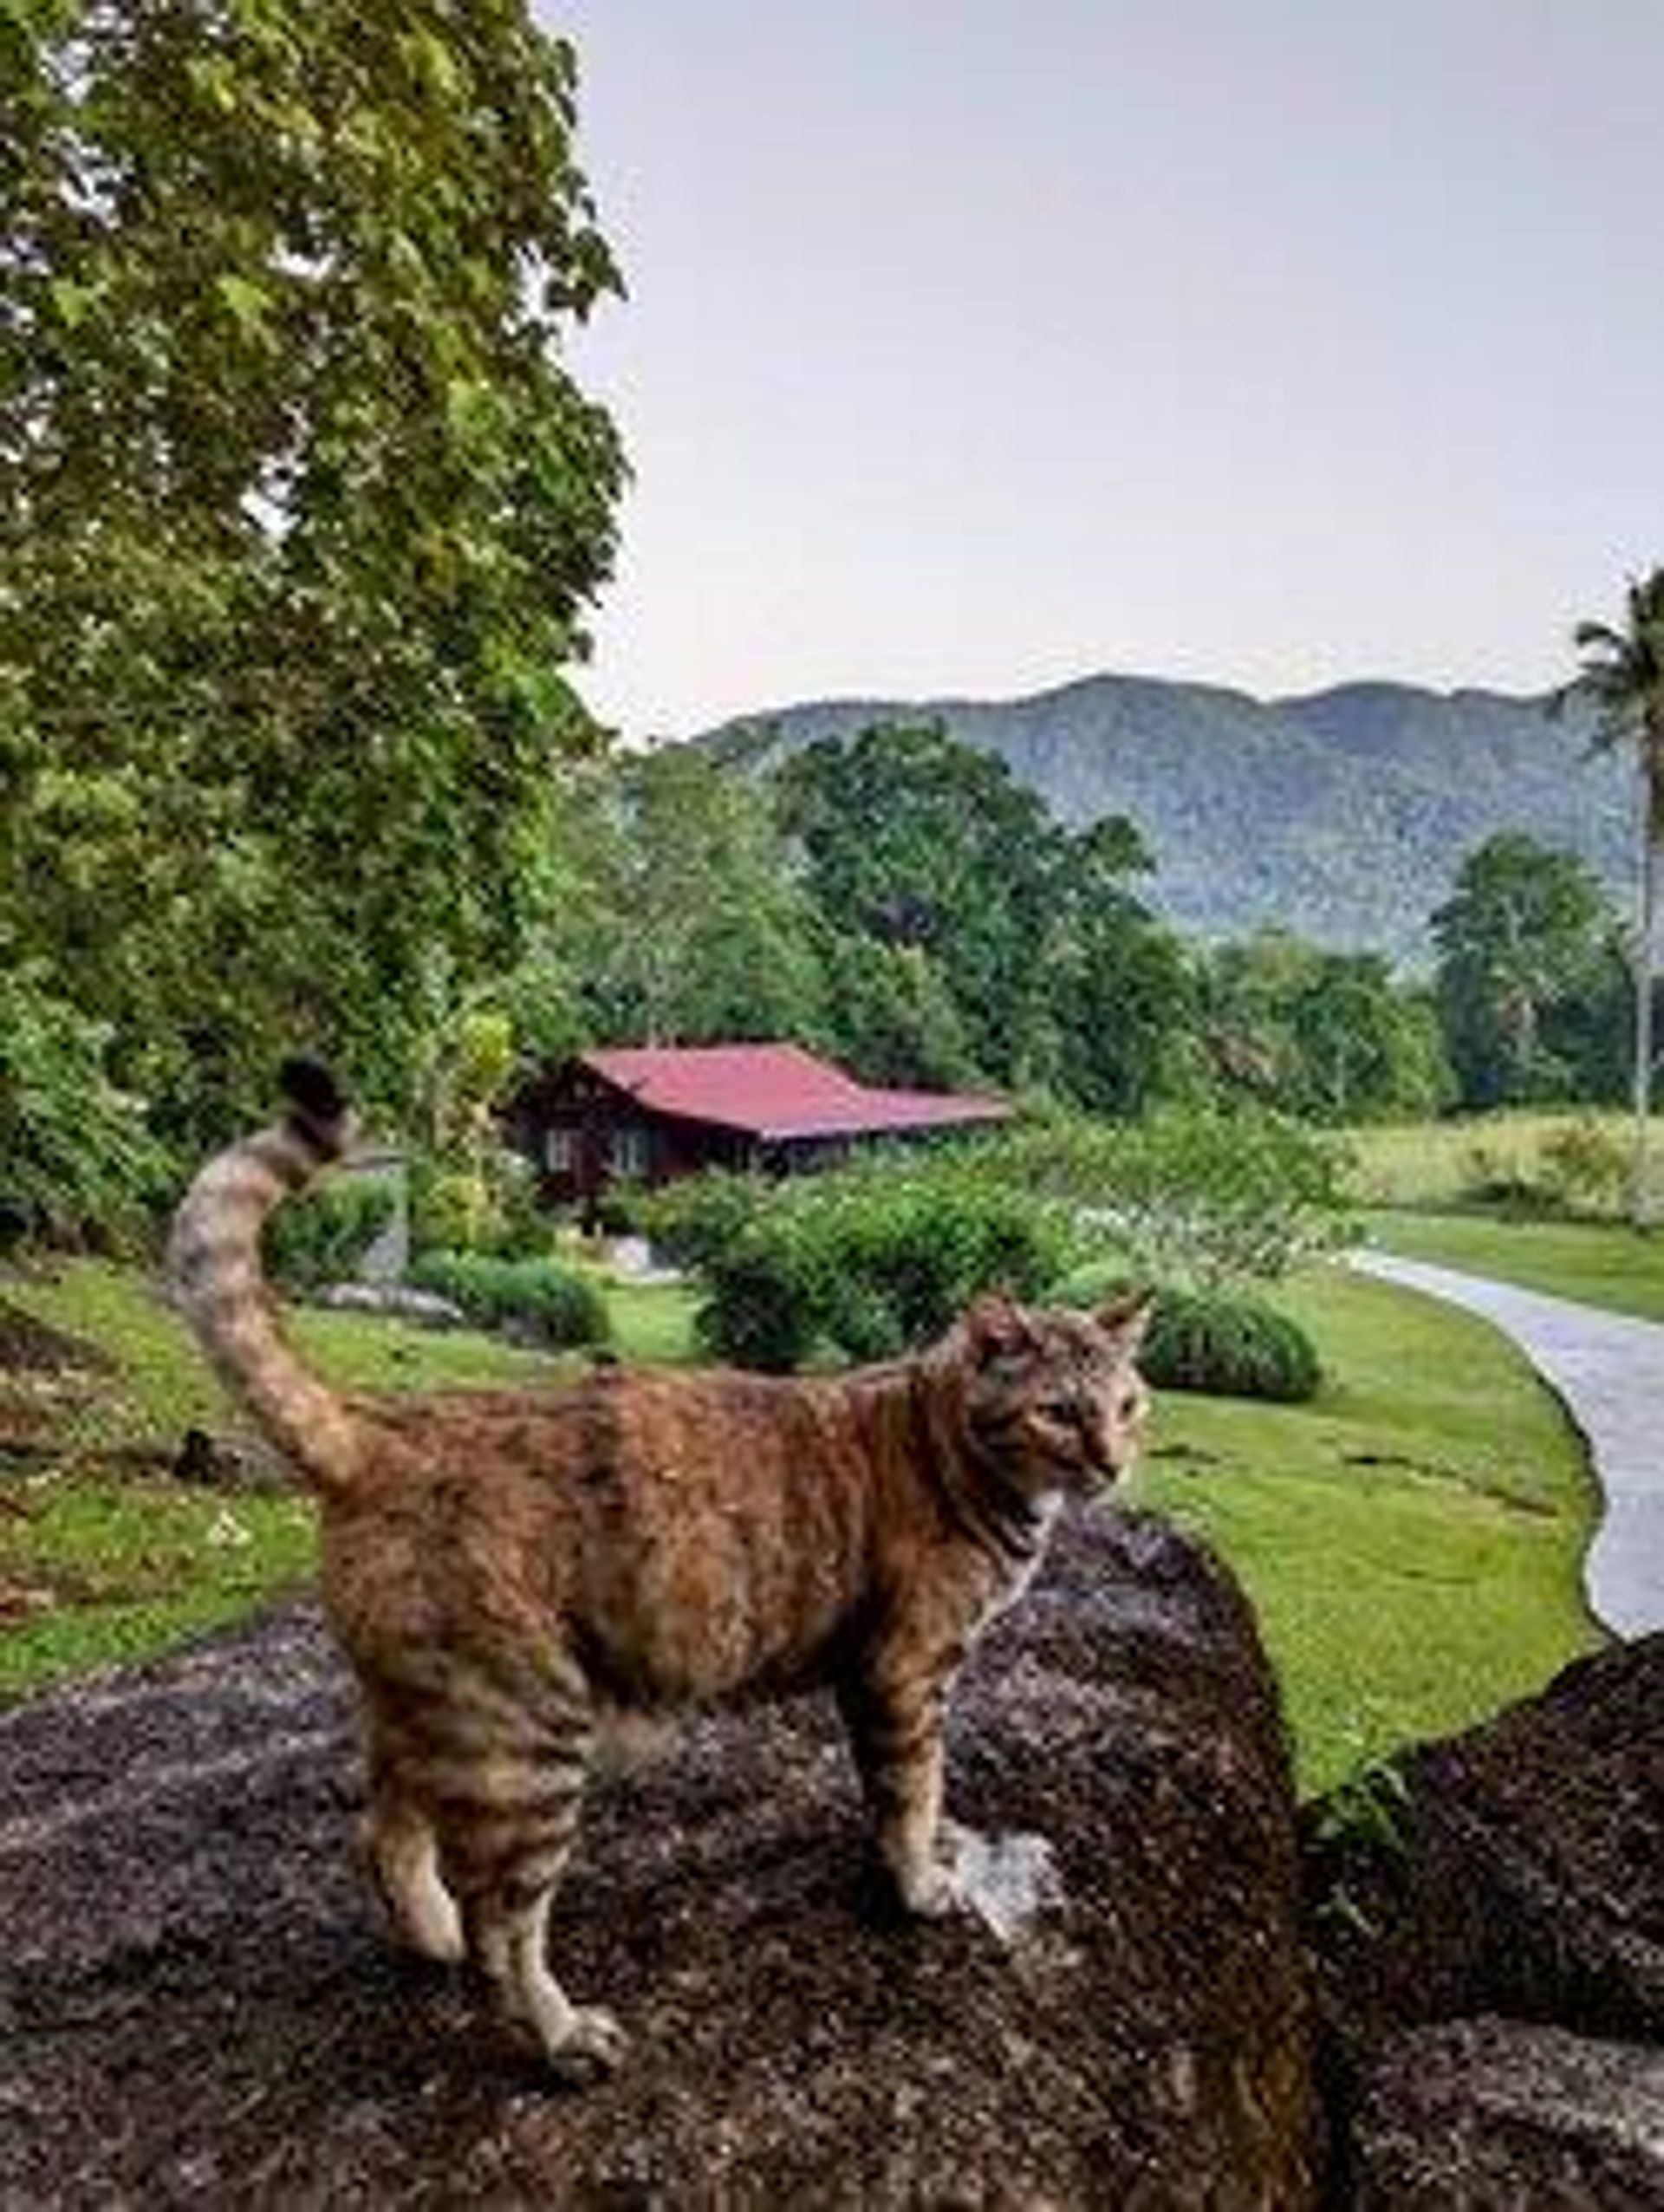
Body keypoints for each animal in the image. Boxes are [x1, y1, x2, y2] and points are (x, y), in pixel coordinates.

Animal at [172, 1061, 1159, 2079]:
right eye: (1060, 1411)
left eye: (1129, 1404)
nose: (1113, 1461)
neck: (947, 1441)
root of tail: (378, 1428)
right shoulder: (906, 1669)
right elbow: (913, 1787)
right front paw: (920, 1881)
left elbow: (914, 1788)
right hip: (529, 1736)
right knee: (504, 1926)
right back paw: (561, 2033)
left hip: (430, 1710)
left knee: (384, 1837)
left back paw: (431, 1936)